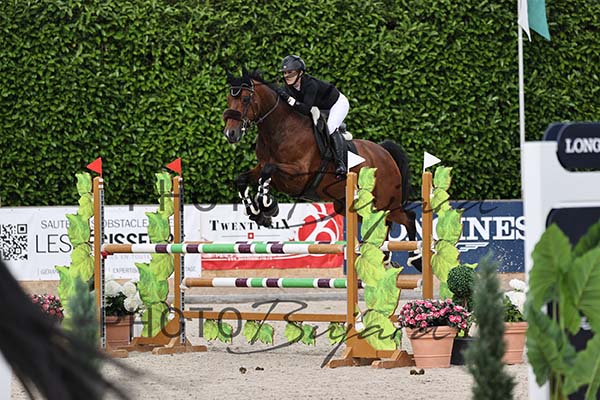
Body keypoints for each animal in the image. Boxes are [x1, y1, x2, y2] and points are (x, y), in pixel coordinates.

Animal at [223, 69, 421, 270]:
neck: (279, 130)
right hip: (351, 207)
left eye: (245, 99)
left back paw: (415, 258)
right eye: (229, 99)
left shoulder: (298, 175)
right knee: (381, 225)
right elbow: (243, 178)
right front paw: (257, 214)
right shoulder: (263, 167)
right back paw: (384, 259)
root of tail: (384, 153)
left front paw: (268, 206)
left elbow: (268, 172)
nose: (230, 134)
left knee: (408, 217)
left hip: (385, 203)